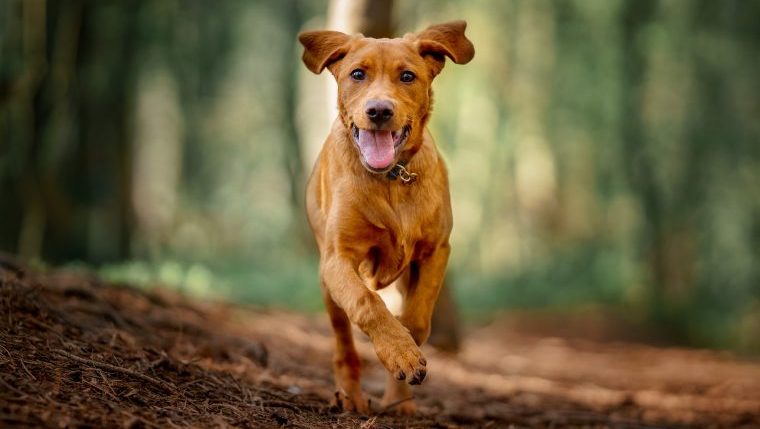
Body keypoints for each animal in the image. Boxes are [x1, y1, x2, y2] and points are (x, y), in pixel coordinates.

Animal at [298, 20, 472, 414]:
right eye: (357, 74)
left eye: (407, 76)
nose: (379, 111)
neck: (391, 179)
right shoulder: (338, 259)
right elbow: (367, 304)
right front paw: (399, 353)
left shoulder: (436, 251)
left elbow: (416, 321)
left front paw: (404, 361)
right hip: (327, 286)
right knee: (344, 346)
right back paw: (350, 396)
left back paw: (398, 401)